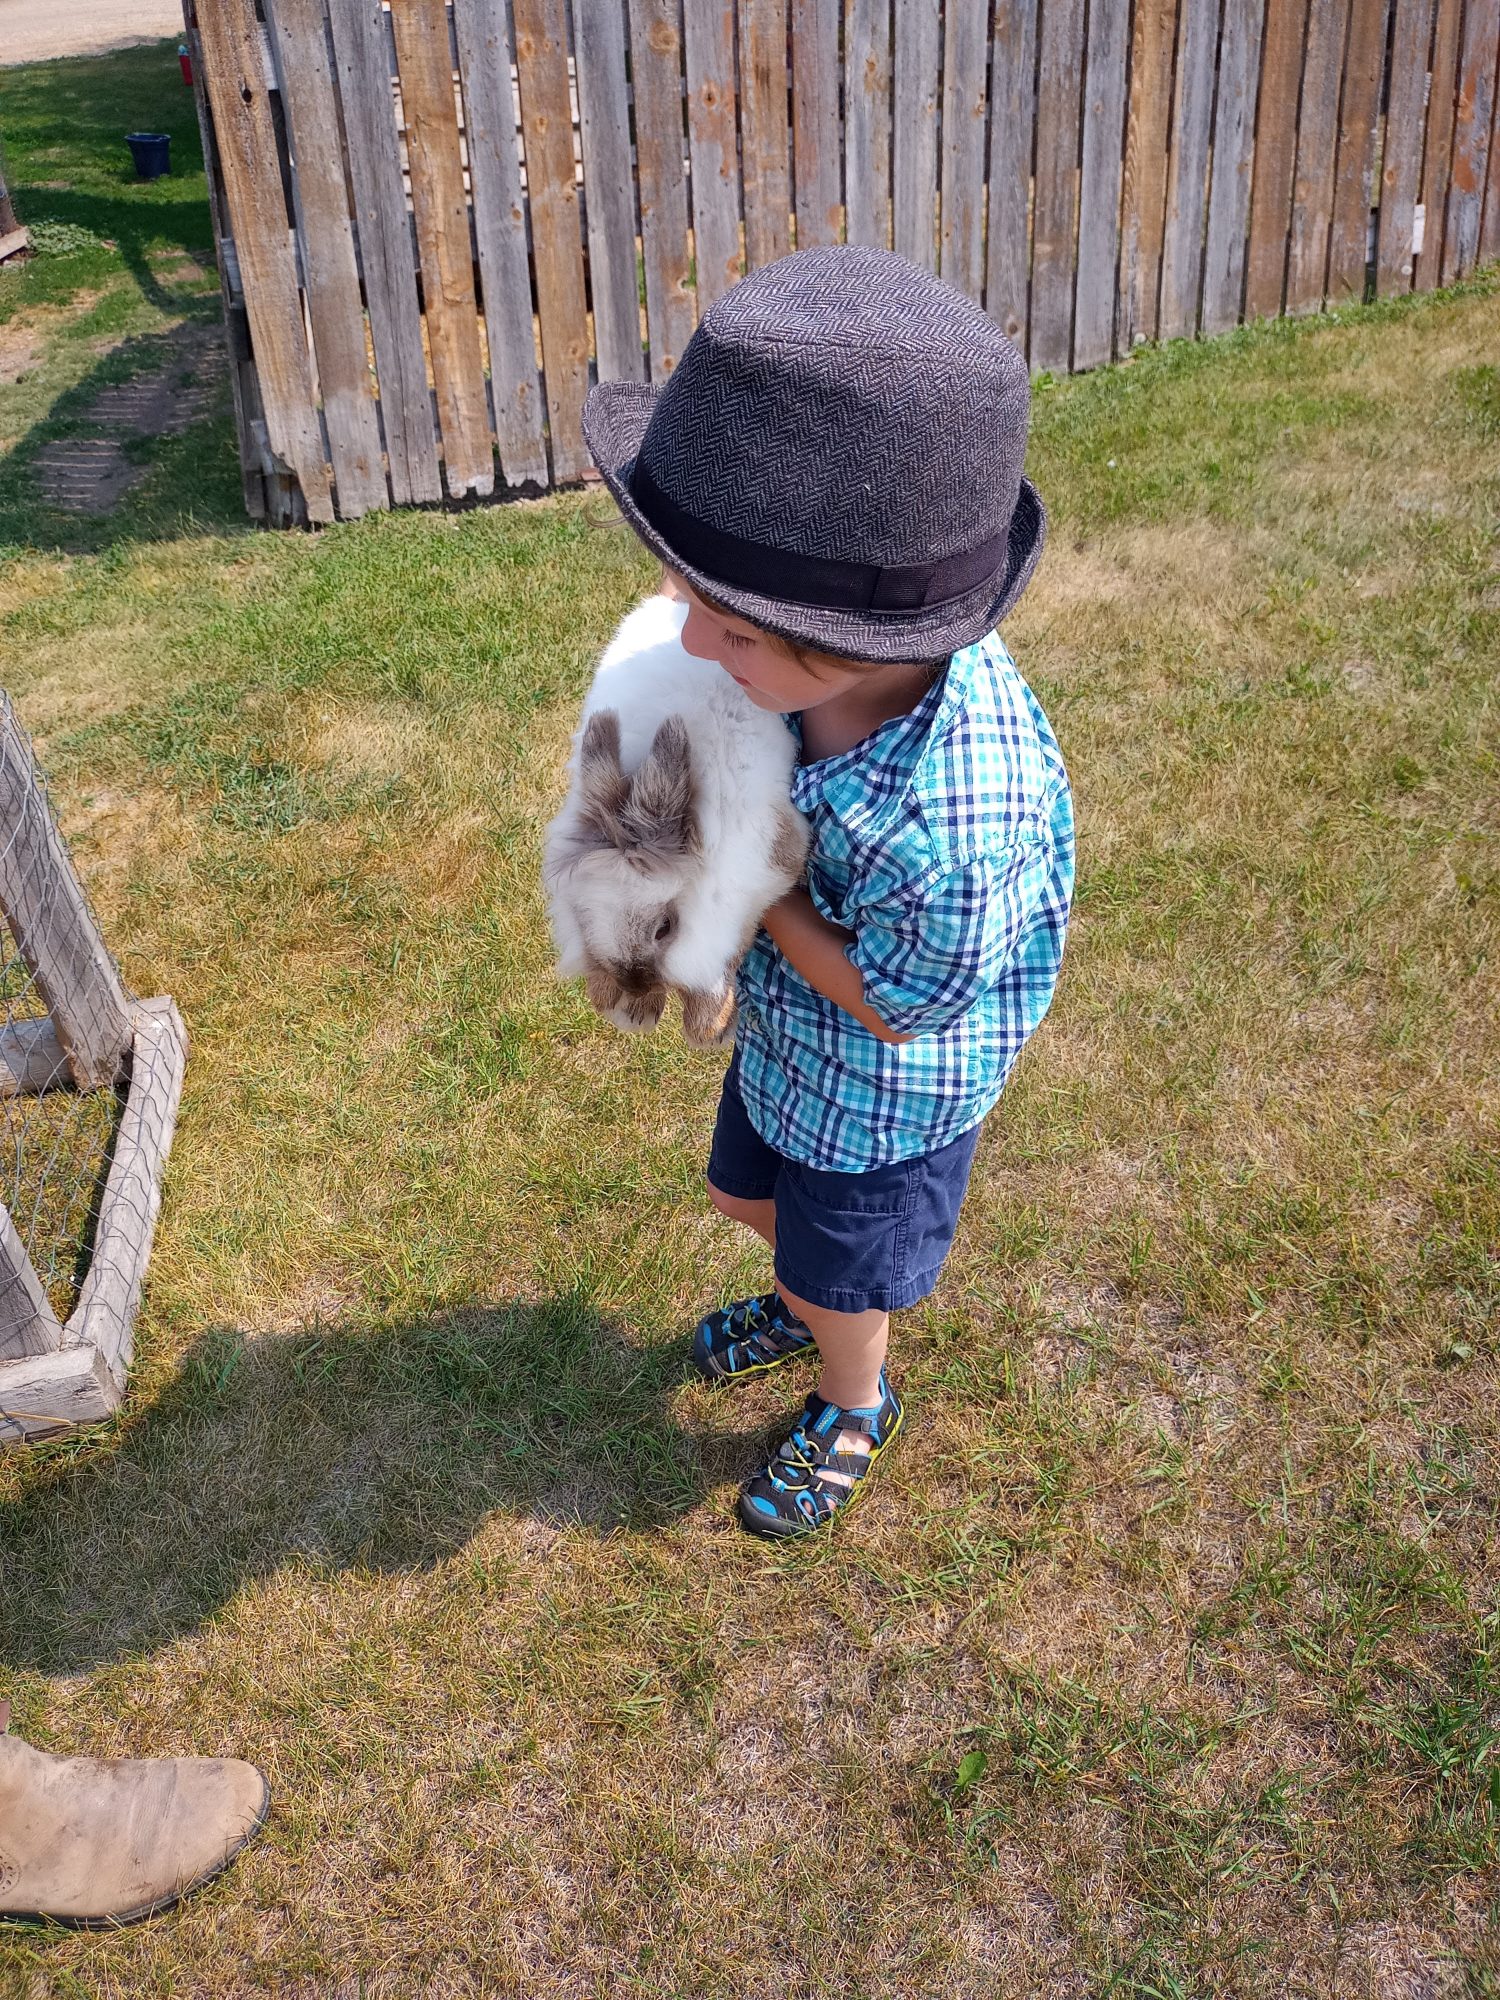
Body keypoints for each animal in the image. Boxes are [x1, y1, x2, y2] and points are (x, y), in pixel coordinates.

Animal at [544, 588, 812, 1048]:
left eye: (665, 928)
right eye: (581, 912)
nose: (633, 983)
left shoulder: (761, 881)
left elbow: (724, 958)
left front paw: (710, 1029)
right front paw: (633, 1013)